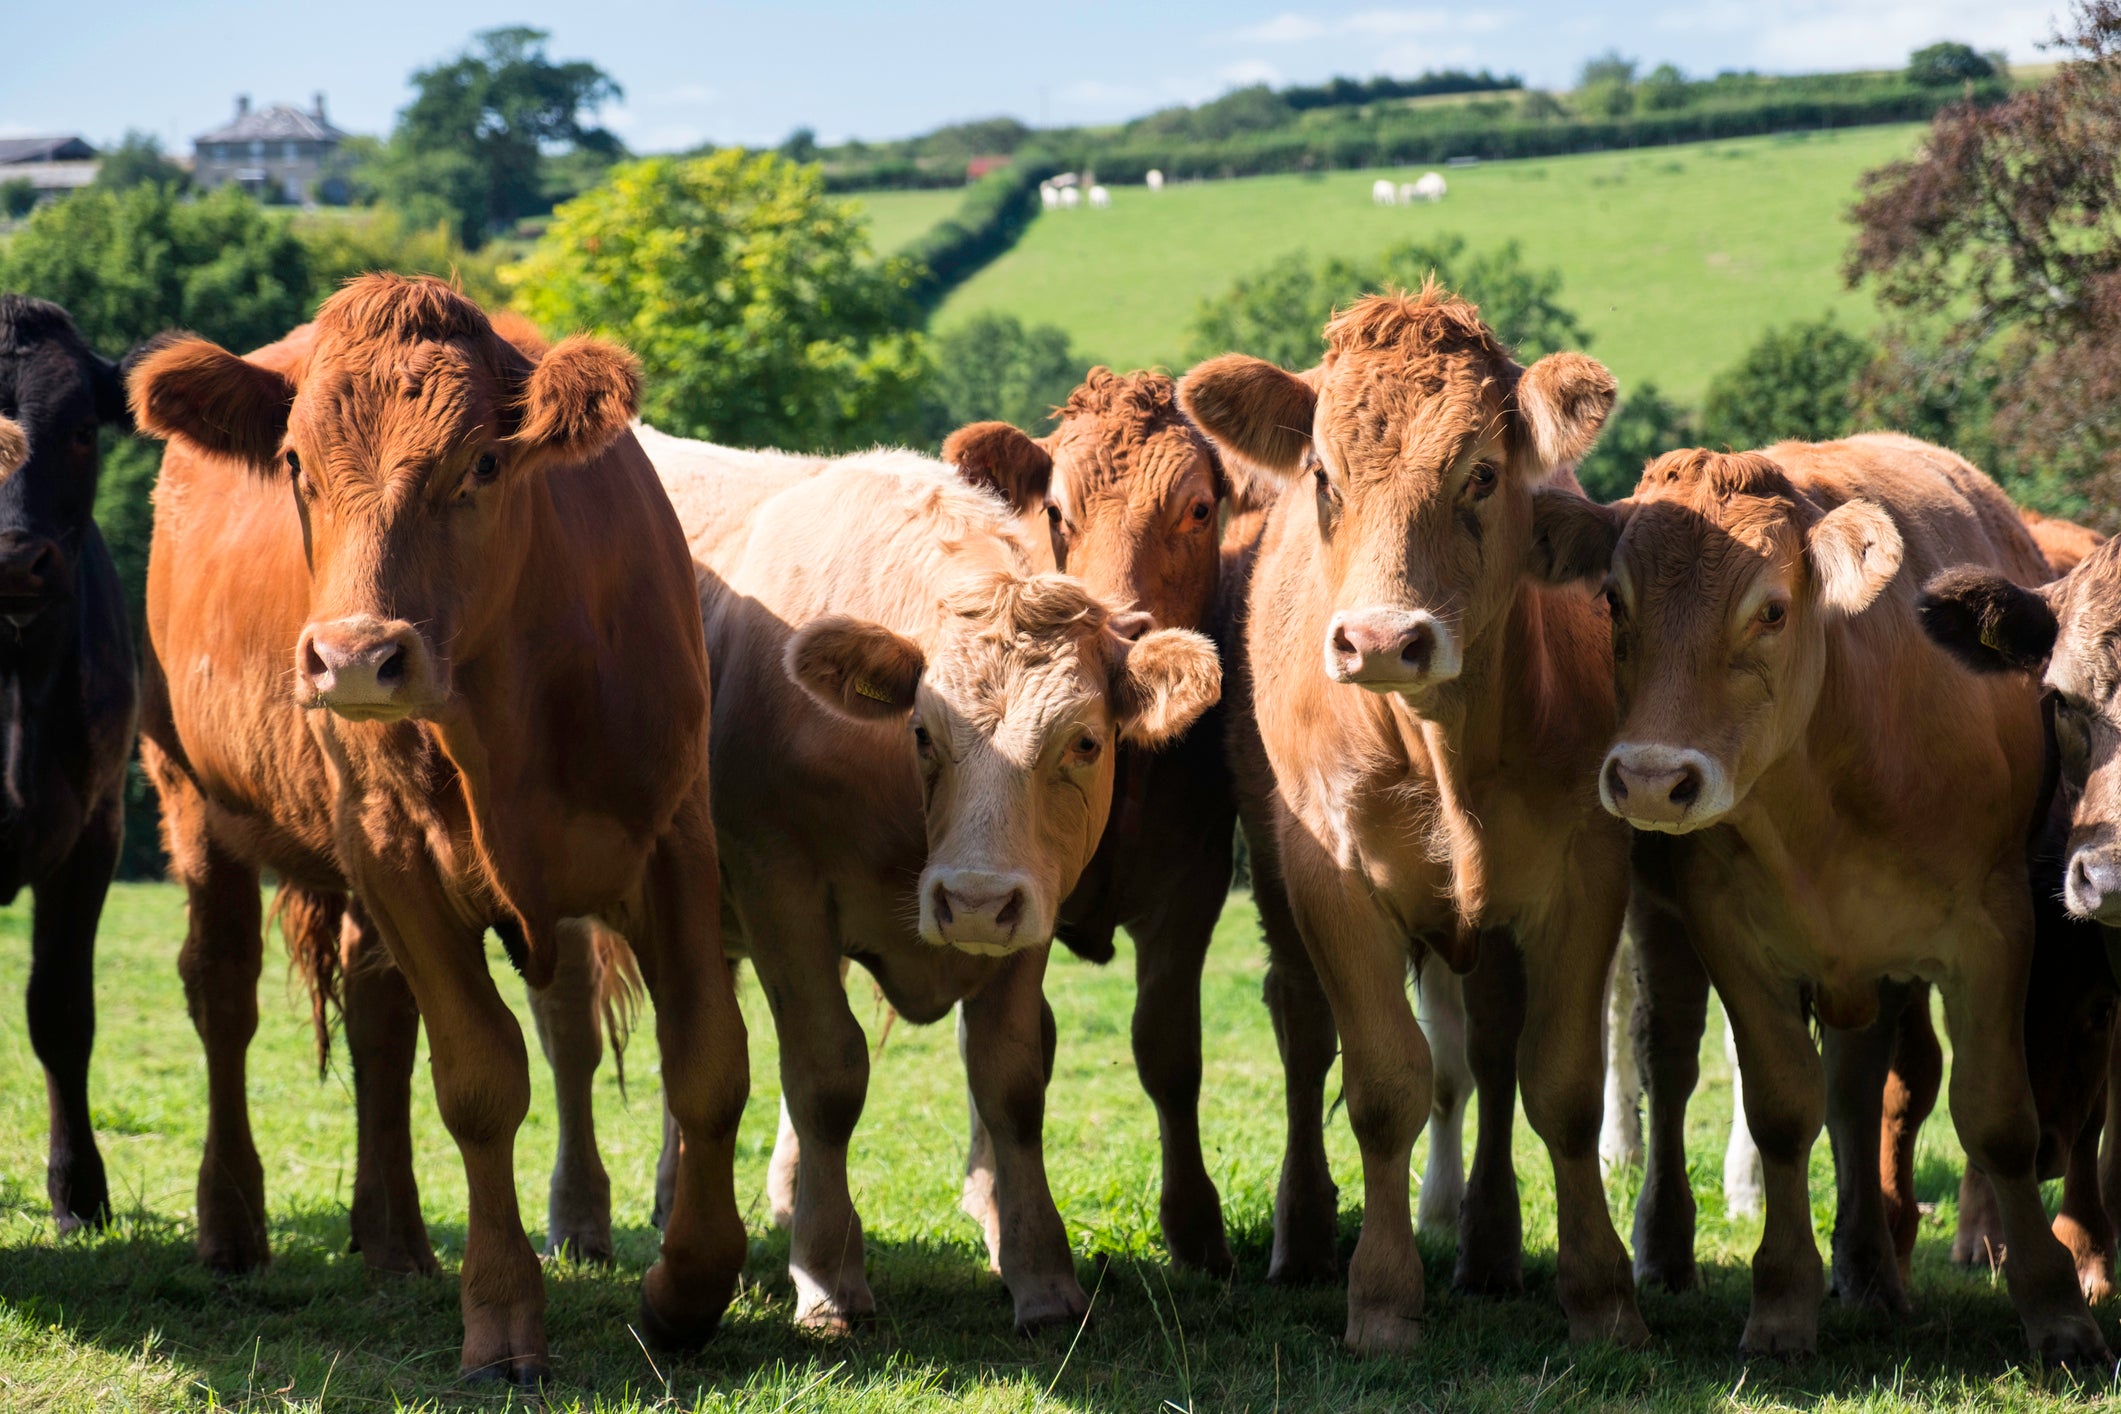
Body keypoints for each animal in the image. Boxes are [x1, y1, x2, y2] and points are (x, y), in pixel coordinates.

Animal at [126, 274, 749, 1385]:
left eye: (484, 463)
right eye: (295, 464)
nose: (354, 656)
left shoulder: (676, 836)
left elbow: (709, 1060)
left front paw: (686, 1291)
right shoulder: (393, 853)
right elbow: (478, 1078)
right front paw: (501, 1321)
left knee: (377, 1018)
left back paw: (393, 1237)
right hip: (190, 796)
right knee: (223, 994)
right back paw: (232, 1222)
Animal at [573, 427, 1221, 1333]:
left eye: (1085, 741)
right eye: (921, 732)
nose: (973, 900)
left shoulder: (1032, 902)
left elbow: (1010, 1079)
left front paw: (1041, 1277)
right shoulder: (779, 885)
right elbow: (825, 1072)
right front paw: (826, 1277)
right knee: (568, 1040)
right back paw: (577, 1221)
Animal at [1177, 284, 1648, 1353]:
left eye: (1481, 472)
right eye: (1323, 474)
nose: (1383, 639)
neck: (1446, 744)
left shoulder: (1583, 871)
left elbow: (1560, 1082)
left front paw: (1601, 1292)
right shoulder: (1332, 878)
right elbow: (1383, 1085)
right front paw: (1383, 1297)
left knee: (1491, 1045)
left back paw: (1489, 1245)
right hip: (1277, 875)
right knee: (1303, 1029)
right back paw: (1305, 1235)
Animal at [1528, 435, 2107, 1360]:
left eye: (1770, 611)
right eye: (1612, 601)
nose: (1652, 779)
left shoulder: (1991, 932)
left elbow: (1993, 1118)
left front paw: (2056, 1312)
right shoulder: (1726, 930)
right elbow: (1779, 1109)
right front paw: (1780, 1302)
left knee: (1858, 1086)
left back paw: (1869, 1268)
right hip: (1664, 922)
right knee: (1672, 1059)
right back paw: (1668, 1246)